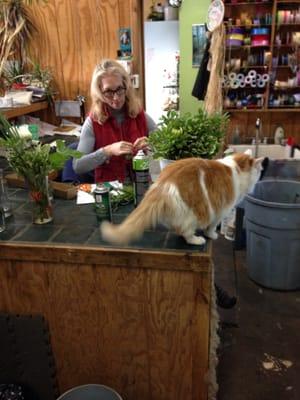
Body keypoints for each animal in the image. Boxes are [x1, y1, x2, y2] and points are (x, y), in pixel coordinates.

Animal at [100, 150, 262, 244]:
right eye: (259, 171)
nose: (259, 176)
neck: (236, 168)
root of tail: (163, 184)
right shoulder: (220, 211)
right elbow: (211, 227)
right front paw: (212, 235)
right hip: (193, 214)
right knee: (186, 233)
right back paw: (197, 240)